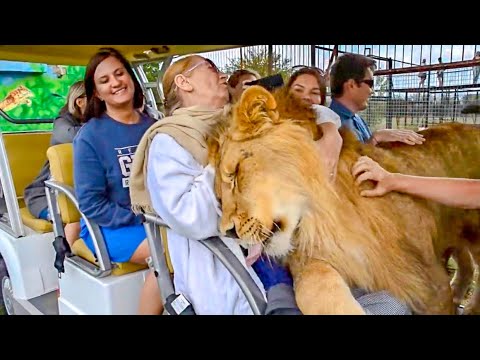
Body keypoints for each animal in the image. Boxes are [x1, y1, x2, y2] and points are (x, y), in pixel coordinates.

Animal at [210, 84, 480, 316]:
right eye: (218, 196)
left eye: (235, 173)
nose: (227, 232)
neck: (324, 216)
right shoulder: (316, 258)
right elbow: (312, 285)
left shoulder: (428, 281)